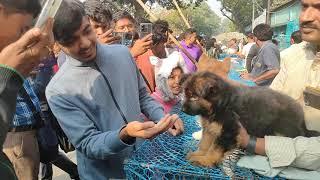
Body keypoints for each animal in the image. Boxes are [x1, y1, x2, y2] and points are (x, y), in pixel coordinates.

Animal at [181, 71, 314, 167]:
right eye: (186, 94)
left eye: (194, 97)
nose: (182, 109)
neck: (220, 105)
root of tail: (303, 121)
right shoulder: (211, 128)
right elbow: (205, 143)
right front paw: (199, 154)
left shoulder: (228, 130)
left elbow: (214, 149)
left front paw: (206, 160)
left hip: (281, 131)